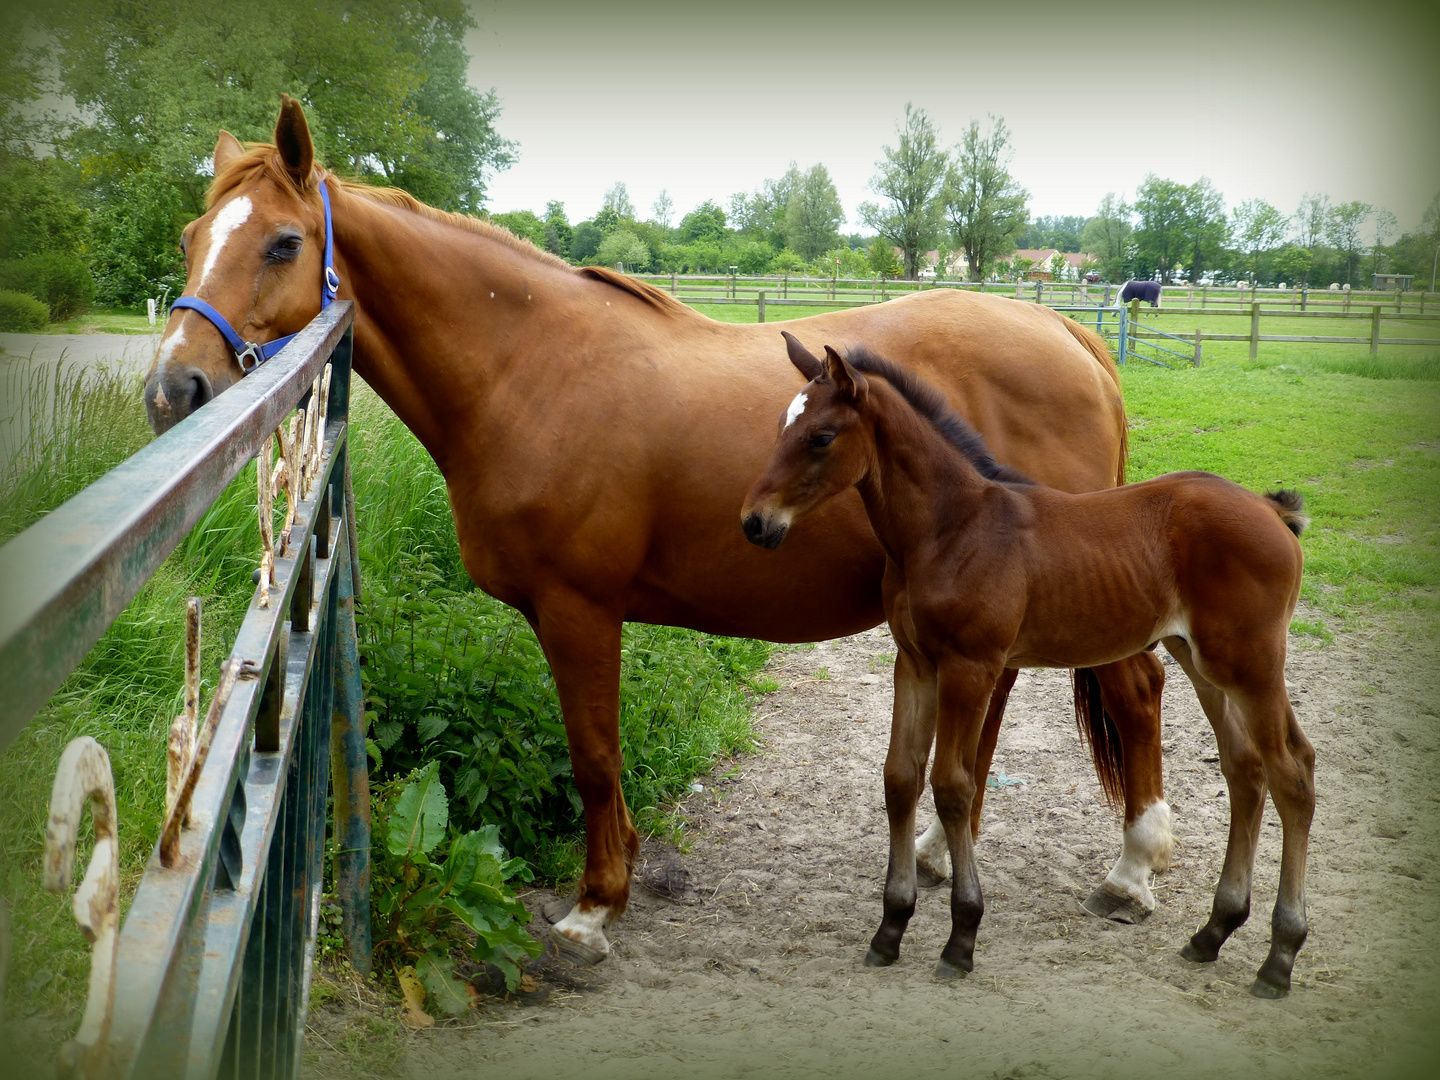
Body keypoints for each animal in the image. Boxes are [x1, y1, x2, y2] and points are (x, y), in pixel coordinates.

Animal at [146, 99, 1175, 961]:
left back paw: (1133, 869)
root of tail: (1071, 336)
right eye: (193, 237)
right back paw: (935, 849)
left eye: (283, 243)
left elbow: (595, 757)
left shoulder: (579, 611)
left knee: (1137, 689)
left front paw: (597, 904)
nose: (173, 389)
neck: (530, 367)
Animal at [743, 338, 1319, 996]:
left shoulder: (970, 666)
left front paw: (962, 936)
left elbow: (954, 786)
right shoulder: (913, 664)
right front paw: (890, 928)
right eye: (781, 425)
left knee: (1292, 773)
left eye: (821, 436)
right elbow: (900, 778)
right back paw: (1213, 932)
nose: (755, 522)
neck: (950, 528)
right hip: (1202, 661)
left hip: (1251, 664)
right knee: (1246, 770)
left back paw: (1279, 955)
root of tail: (1272, 512)